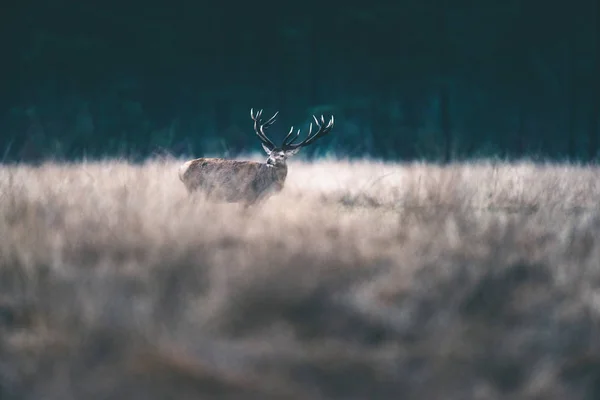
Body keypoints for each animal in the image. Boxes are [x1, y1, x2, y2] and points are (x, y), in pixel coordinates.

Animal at [178, 108, 338, 205]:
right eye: (270, 153)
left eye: (281, 155)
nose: (269, 160)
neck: (266, 187)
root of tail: (181, 169)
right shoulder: (247, 197)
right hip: (194, 190)